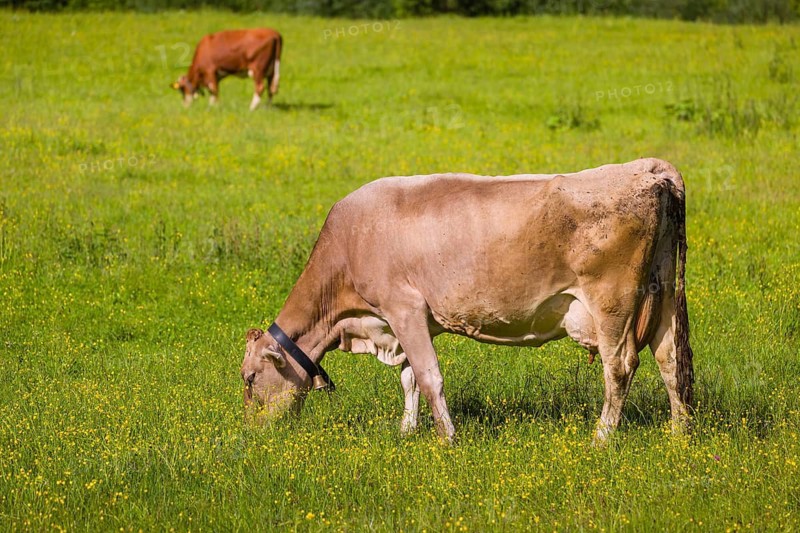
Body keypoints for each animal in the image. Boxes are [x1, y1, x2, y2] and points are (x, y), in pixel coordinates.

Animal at [241, 158, 695, 443]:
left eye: (249, 379)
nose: (251, 431)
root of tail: (648, 169)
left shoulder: (403, 308)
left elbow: (429, 377)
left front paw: (447, 439)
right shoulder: (405, 323)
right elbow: (409, 378)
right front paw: (407, 431)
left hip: (612, 301)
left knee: (619, 366)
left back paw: (601, 438)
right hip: (662, 293)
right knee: (670, 359)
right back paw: (679, 434)